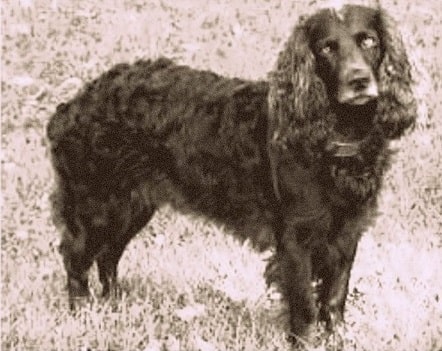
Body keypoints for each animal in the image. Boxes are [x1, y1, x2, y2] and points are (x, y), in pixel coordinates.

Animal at [46, 4, 416, 346]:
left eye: (368, 40)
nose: (359, 81)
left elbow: (335, 299)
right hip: (97, 206)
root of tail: (72, 106)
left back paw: (114, 306)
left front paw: (339, 339)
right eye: (326, 48)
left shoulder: (348, 230)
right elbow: (305, 308)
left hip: (132, 207)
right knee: (75, 258)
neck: (336, 136)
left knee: (108, 256)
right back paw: (81, 314)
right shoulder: (296, 239)